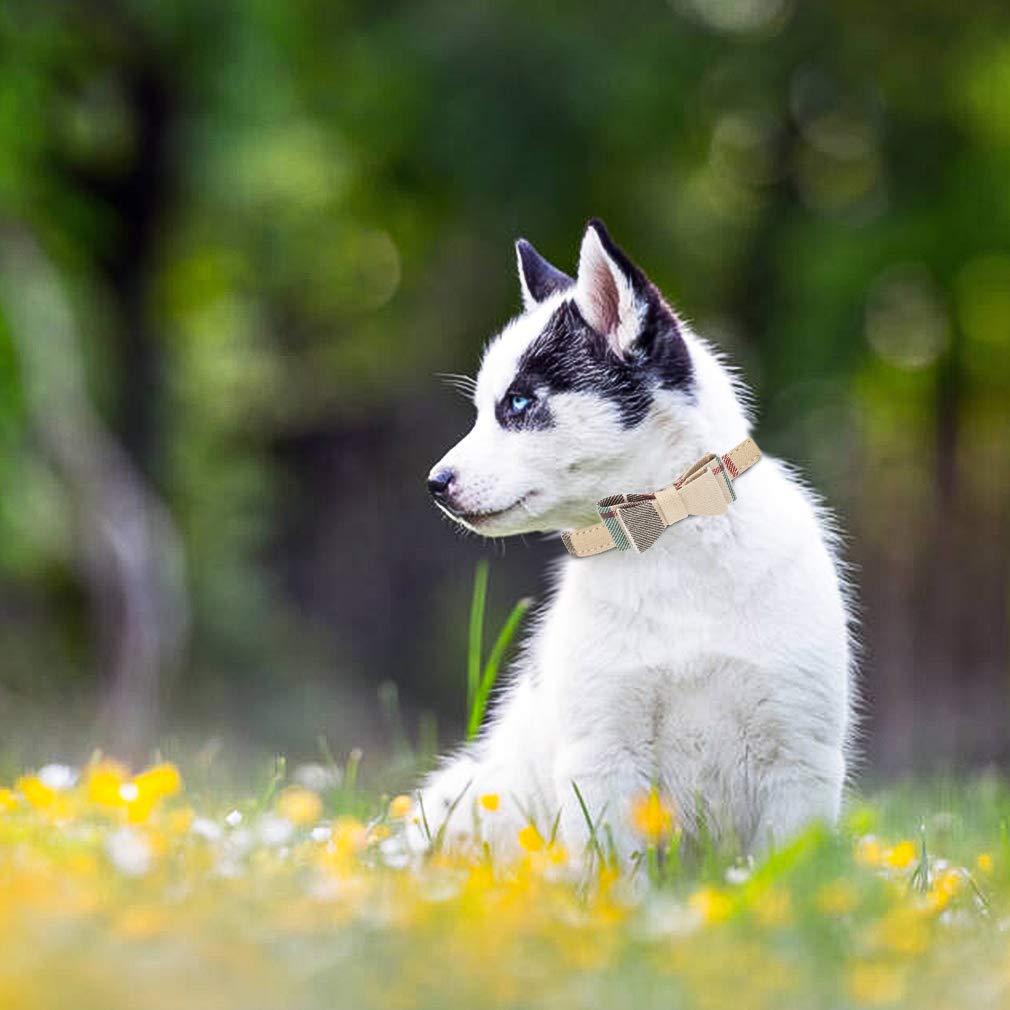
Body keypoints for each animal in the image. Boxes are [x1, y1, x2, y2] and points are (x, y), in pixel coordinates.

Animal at [418, 219, 852, 860]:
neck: (670, 534)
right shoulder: (601, 756)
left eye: (519, 402)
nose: (435, 484)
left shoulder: (800, 756)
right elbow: (616, 872)